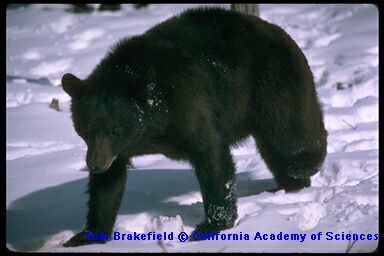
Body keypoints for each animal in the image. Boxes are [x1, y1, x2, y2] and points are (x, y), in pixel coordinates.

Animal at [61, 7, 326, 246]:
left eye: (114, 129)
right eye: (85, 130)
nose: (95, 164)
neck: (150, 125)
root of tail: (278, 31)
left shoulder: (187, 107)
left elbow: (212, 159)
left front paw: (211, 226)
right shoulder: (118, 150)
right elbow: (108, 186)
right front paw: (87, 235)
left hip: (272, 82)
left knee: (290, 130)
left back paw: (302, 166)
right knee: (272, 147)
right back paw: (287, 185)